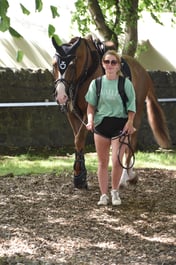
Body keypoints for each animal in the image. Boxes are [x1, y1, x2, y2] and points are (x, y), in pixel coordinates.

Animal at [50, 34, 170, 188]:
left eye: (71, 65)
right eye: (54, 64)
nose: (60, 95)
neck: (85, 74)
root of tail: (143, 71)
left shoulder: (89, 113)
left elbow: (79, 138)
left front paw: (79, 177)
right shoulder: (72, 114)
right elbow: (78, 139)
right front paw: (80, 175)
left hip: (135, 113)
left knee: (131, 140)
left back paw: (124, 177)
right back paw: (129, 174)